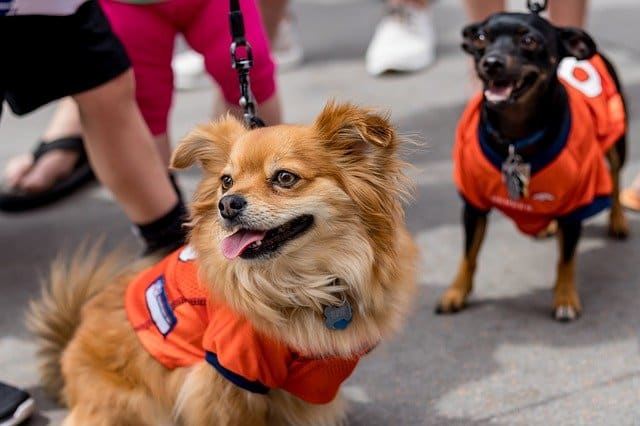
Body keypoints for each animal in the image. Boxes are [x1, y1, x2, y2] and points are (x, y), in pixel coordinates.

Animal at [27, 103, 420, 426]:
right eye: (226, 181)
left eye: (285, 178)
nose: (227, 203)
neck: (301, 284)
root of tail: (70, 343)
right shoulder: (228, 372)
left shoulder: (314, 377)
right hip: (134, 405)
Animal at [436, 11, 624, 322]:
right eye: (481, 38)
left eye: (529, 41)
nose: (492, 62)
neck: (516, 137)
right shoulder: (473, 205)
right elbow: (468, 254)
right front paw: (456, 292)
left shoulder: (576, 206)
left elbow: (566, 259)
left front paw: (565, 298)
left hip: (616, 142)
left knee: (617, 180)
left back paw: (618, 221)